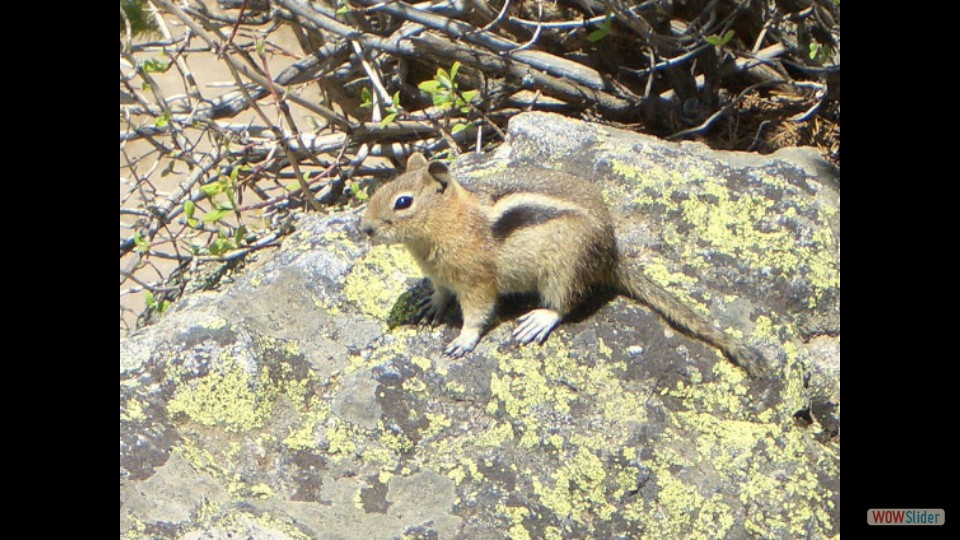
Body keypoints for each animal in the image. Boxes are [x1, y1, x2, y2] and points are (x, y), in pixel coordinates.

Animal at [358, 153, 764, 376]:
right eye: (384, 187)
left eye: (403, 202)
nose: (365, 228)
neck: (451, 221)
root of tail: (612, 251)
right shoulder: (441, 276)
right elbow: (441, 293)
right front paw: (430, 305)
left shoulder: (477, 281)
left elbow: (477, 313)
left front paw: (463, 341)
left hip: (565, 267)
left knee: (564, 302)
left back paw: (539, 320)